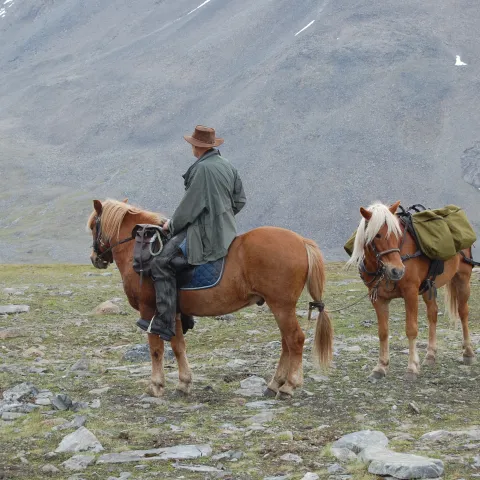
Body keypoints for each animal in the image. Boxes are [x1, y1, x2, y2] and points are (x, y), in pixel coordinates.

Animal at [87, 198, 334, 398]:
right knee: (286, 343)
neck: (141, 250)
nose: (94, 258)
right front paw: (184, 384)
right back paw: (274, 384)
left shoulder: (150, 310)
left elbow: (156, 349)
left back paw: (289, 386)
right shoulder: (173, 312)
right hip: (281, 307)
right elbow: (178, 346)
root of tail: (301, 241)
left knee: (295, 340)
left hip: (281, 306)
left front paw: (156, 386)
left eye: (92, 226)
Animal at [348, 201, 476, 380]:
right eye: (377, 235)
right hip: (429, 287)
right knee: (433, 314)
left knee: (463, 312)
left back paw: (468, 352)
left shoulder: (410, 293)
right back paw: (430, 354)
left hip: (462, 279)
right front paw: (381, 366)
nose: (397, 270)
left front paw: (411, 368)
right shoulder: (378, 299)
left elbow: (411, 329)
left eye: (398, 234)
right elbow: (383, 332)